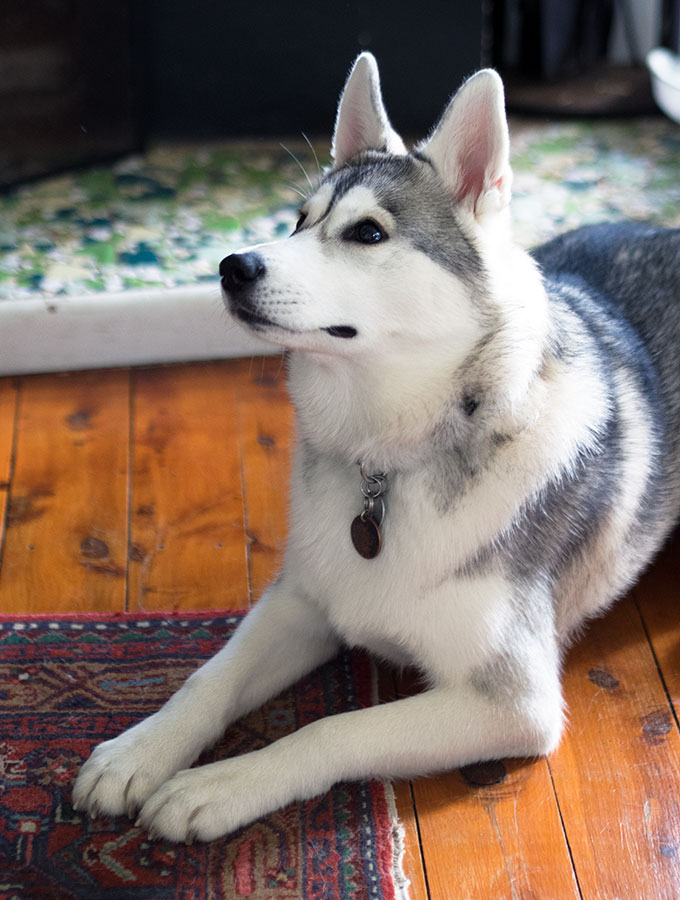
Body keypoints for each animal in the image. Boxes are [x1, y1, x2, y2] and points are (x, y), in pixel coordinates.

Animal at [74, 56, 680, 844]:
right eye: (299, 221)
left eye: (366, 233)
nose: (232, 265)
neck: (391, 461)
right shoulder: (299, 602)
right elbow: (210, 677)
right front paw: (140, 751)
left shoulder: (512, 707)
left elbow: (331, 729)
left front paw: (218, 785)